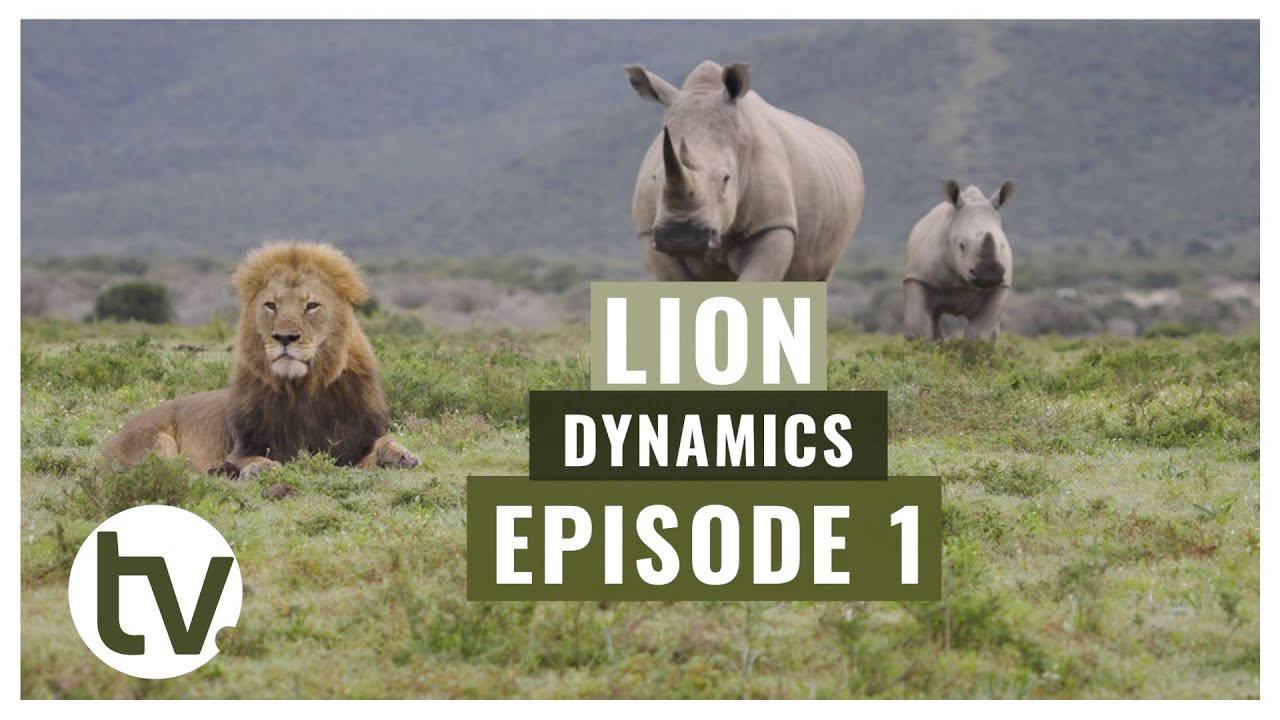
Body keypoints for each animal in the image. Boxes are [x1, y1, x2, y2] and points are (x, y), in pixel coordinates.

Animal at [100, 241, 420, 482]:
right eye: (271, 305)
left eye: (311, 305)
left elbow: (383, 443)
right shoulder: (241, 447)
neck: (301, 391)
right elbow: (249, 459)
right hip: (154, 440)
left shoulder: (353, 444)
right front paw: (259, 469)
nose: (285, 337)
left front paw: (404, 456)